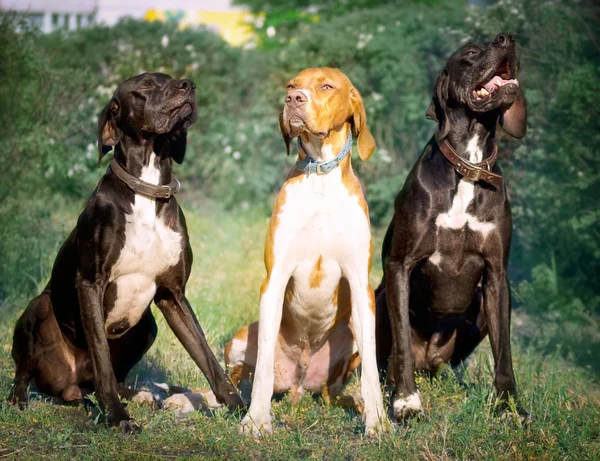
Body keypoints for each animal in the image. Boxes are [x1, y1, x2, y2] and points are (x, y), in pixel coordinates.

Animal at [8, 72, 245, 432]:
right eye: (144, 87)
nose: (188, 85)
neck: (146, 189)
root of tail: (68, 387)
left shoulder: (173, 295)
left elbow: (207, 358)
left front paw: (242, 409)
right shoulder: (90, 284)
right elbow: (102, 359)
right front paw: (117, 417)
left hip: (147, 325)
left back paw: (137, 395)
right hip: (38, 308)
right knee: (25, 369)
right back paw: (18, 399)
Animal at [225, 67, 390, 434]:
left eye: (326, 86)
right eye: (291, 85)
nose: (293, 100)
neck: (321, 178)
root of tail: (300, 383)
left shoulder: (361, 285)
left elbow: (372, 370)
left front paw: (377, 422)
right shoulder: (274, 279)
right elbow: (263, 368)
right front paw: (256, 421)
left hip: (348, 341)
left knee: (334, 391)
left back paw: (354, 403)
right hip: (240, 339)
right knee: (236, 378)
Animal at [376, 31, 528, 420]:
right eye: (471, 52)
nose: (508, 38)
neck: (468, 166)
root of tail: (429, 359)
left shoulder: (497, 275)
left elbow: (504, 353)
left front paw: (508, 406)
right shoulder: (399, 267)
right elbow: (401, 345)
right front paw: (405, 401)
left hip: (478, 305)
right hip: (378, 297)